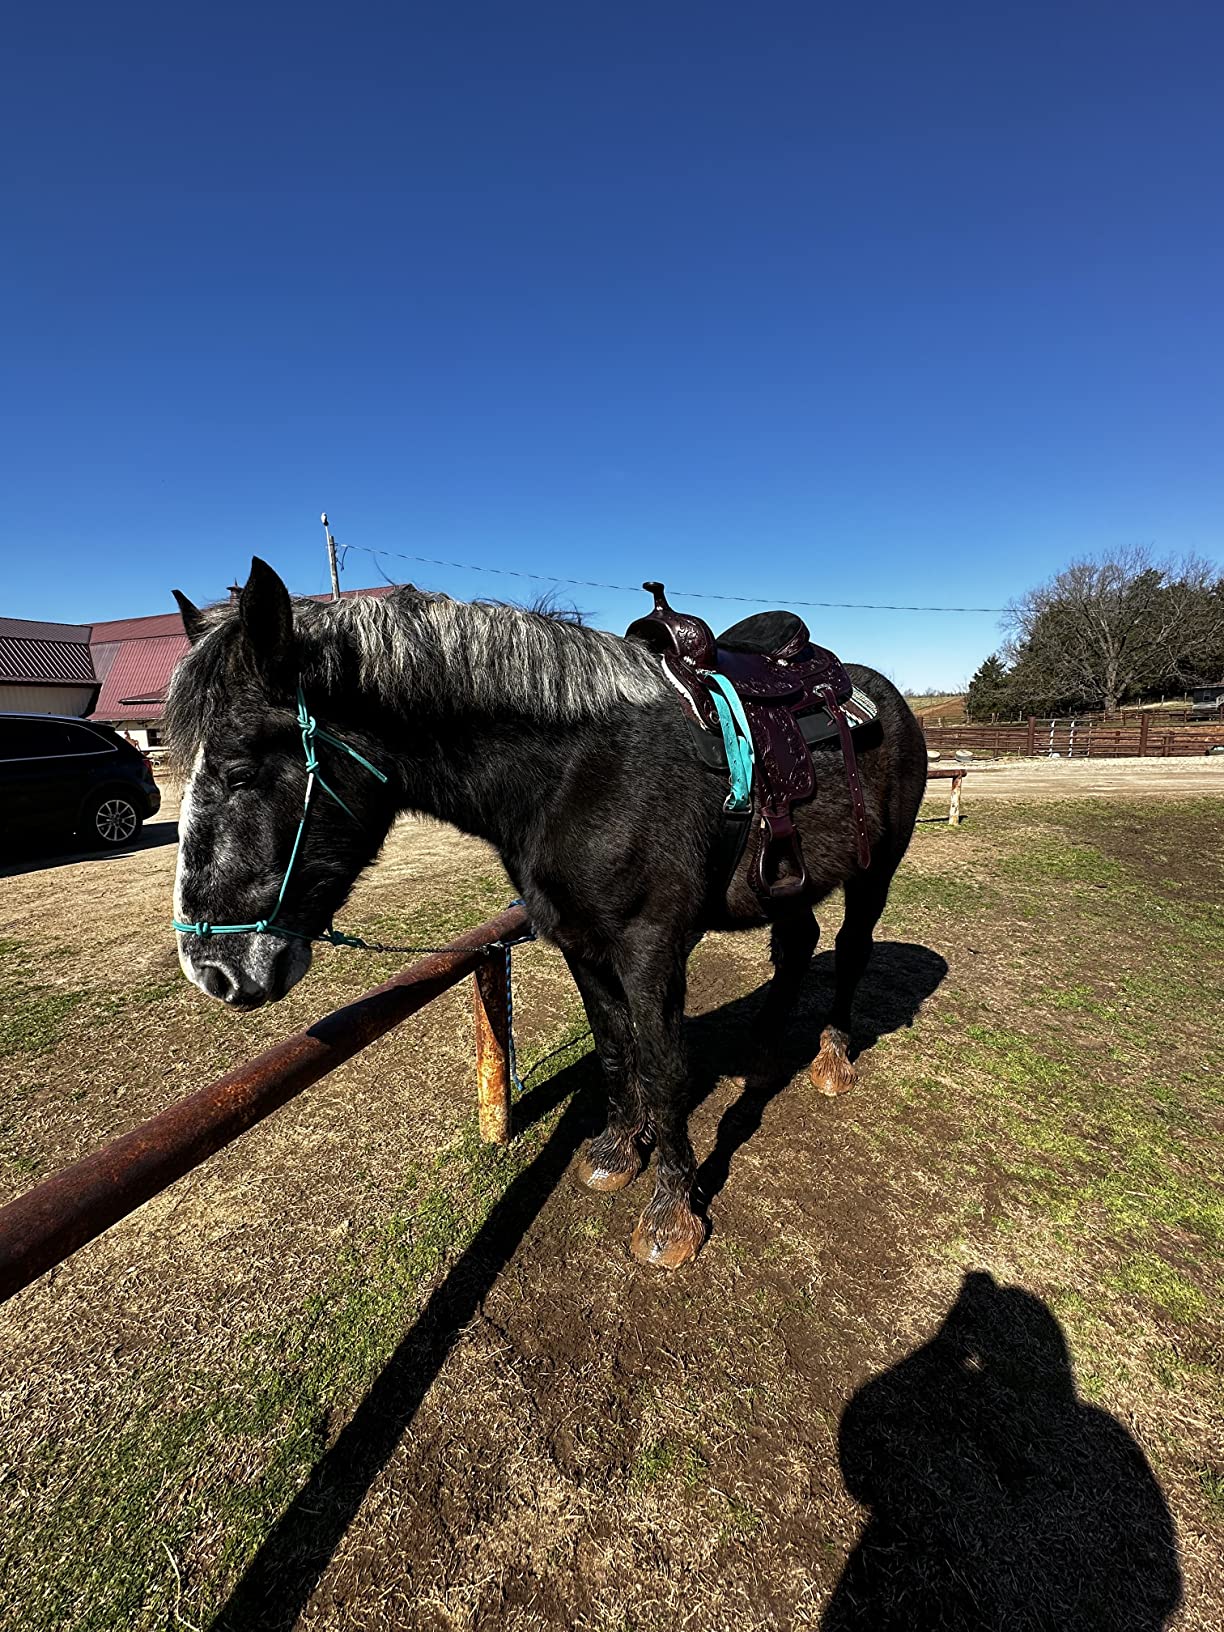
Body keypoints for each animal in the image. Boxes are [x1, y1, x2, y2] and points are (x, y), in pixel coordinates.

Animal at [167, 559, 928, 1268]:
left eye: (240, 772)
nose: (213, 971)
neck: (579, 774)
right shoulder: (580, 942)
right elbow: (616, 1048)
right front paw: (618, 1152)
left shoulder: (650, 947)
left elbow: (663, 1066)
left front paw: (671, 1216)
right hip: (790, 884)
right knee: (798, 946)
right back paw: (767, 1055)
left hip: (875, 873)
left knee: (851, 950)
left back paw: (833, 1059)